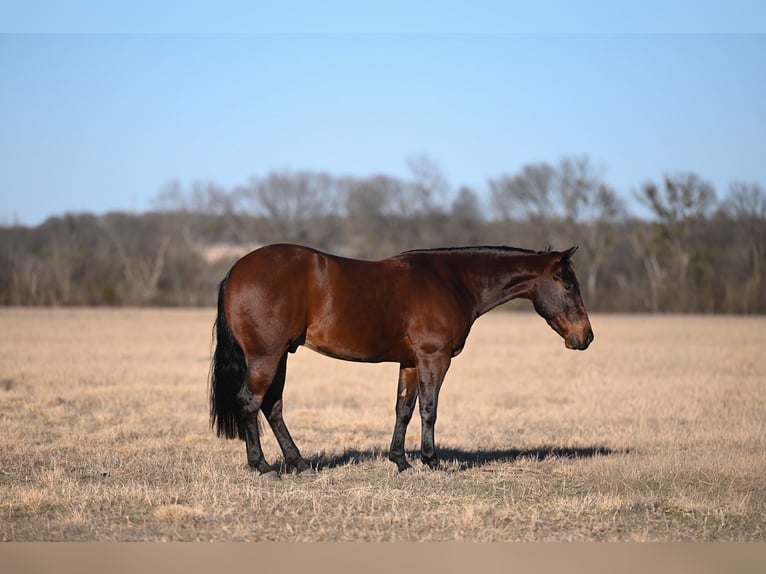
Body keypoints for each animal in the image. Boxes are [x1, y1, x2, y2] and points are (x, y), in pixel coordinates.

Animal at [210, 243, 593, 477]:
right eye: (568, 284)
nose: (586, 337)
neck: (453, 281)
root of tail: (237, 269)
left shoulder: (409, 363)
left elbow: (404, 409)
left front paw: (401, 461)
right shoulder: (433, 358)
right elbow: (429, 409)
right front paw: (431, 461)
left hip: (280, 357)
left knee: (272, 405)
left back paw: (298, 462)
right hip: (267, 356)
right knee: (251, 402)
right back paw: (262, 466)